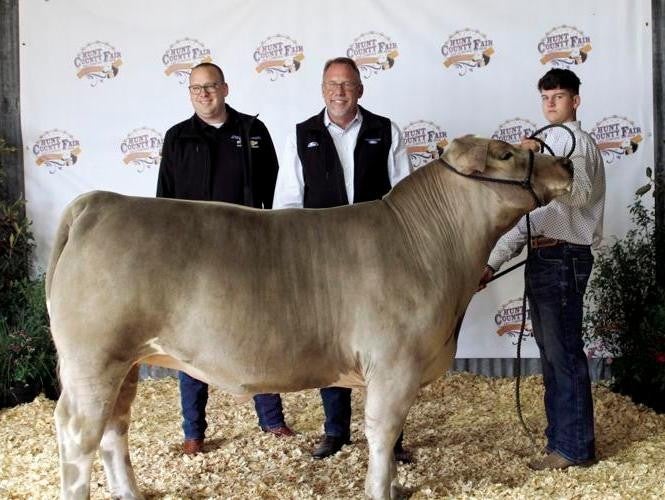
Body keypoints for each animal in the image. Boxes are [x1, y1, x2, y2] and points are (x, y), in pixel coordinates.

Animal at [46, 136, 573, 499]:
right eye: (504, 152)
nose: (566, 162)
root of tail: (99, 201)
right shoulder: (394, 365)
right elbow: (382, 433)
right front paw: (381, 489)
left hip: (127, 363)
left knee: (114, 429)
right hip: (94, 358)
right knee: (77, 435)